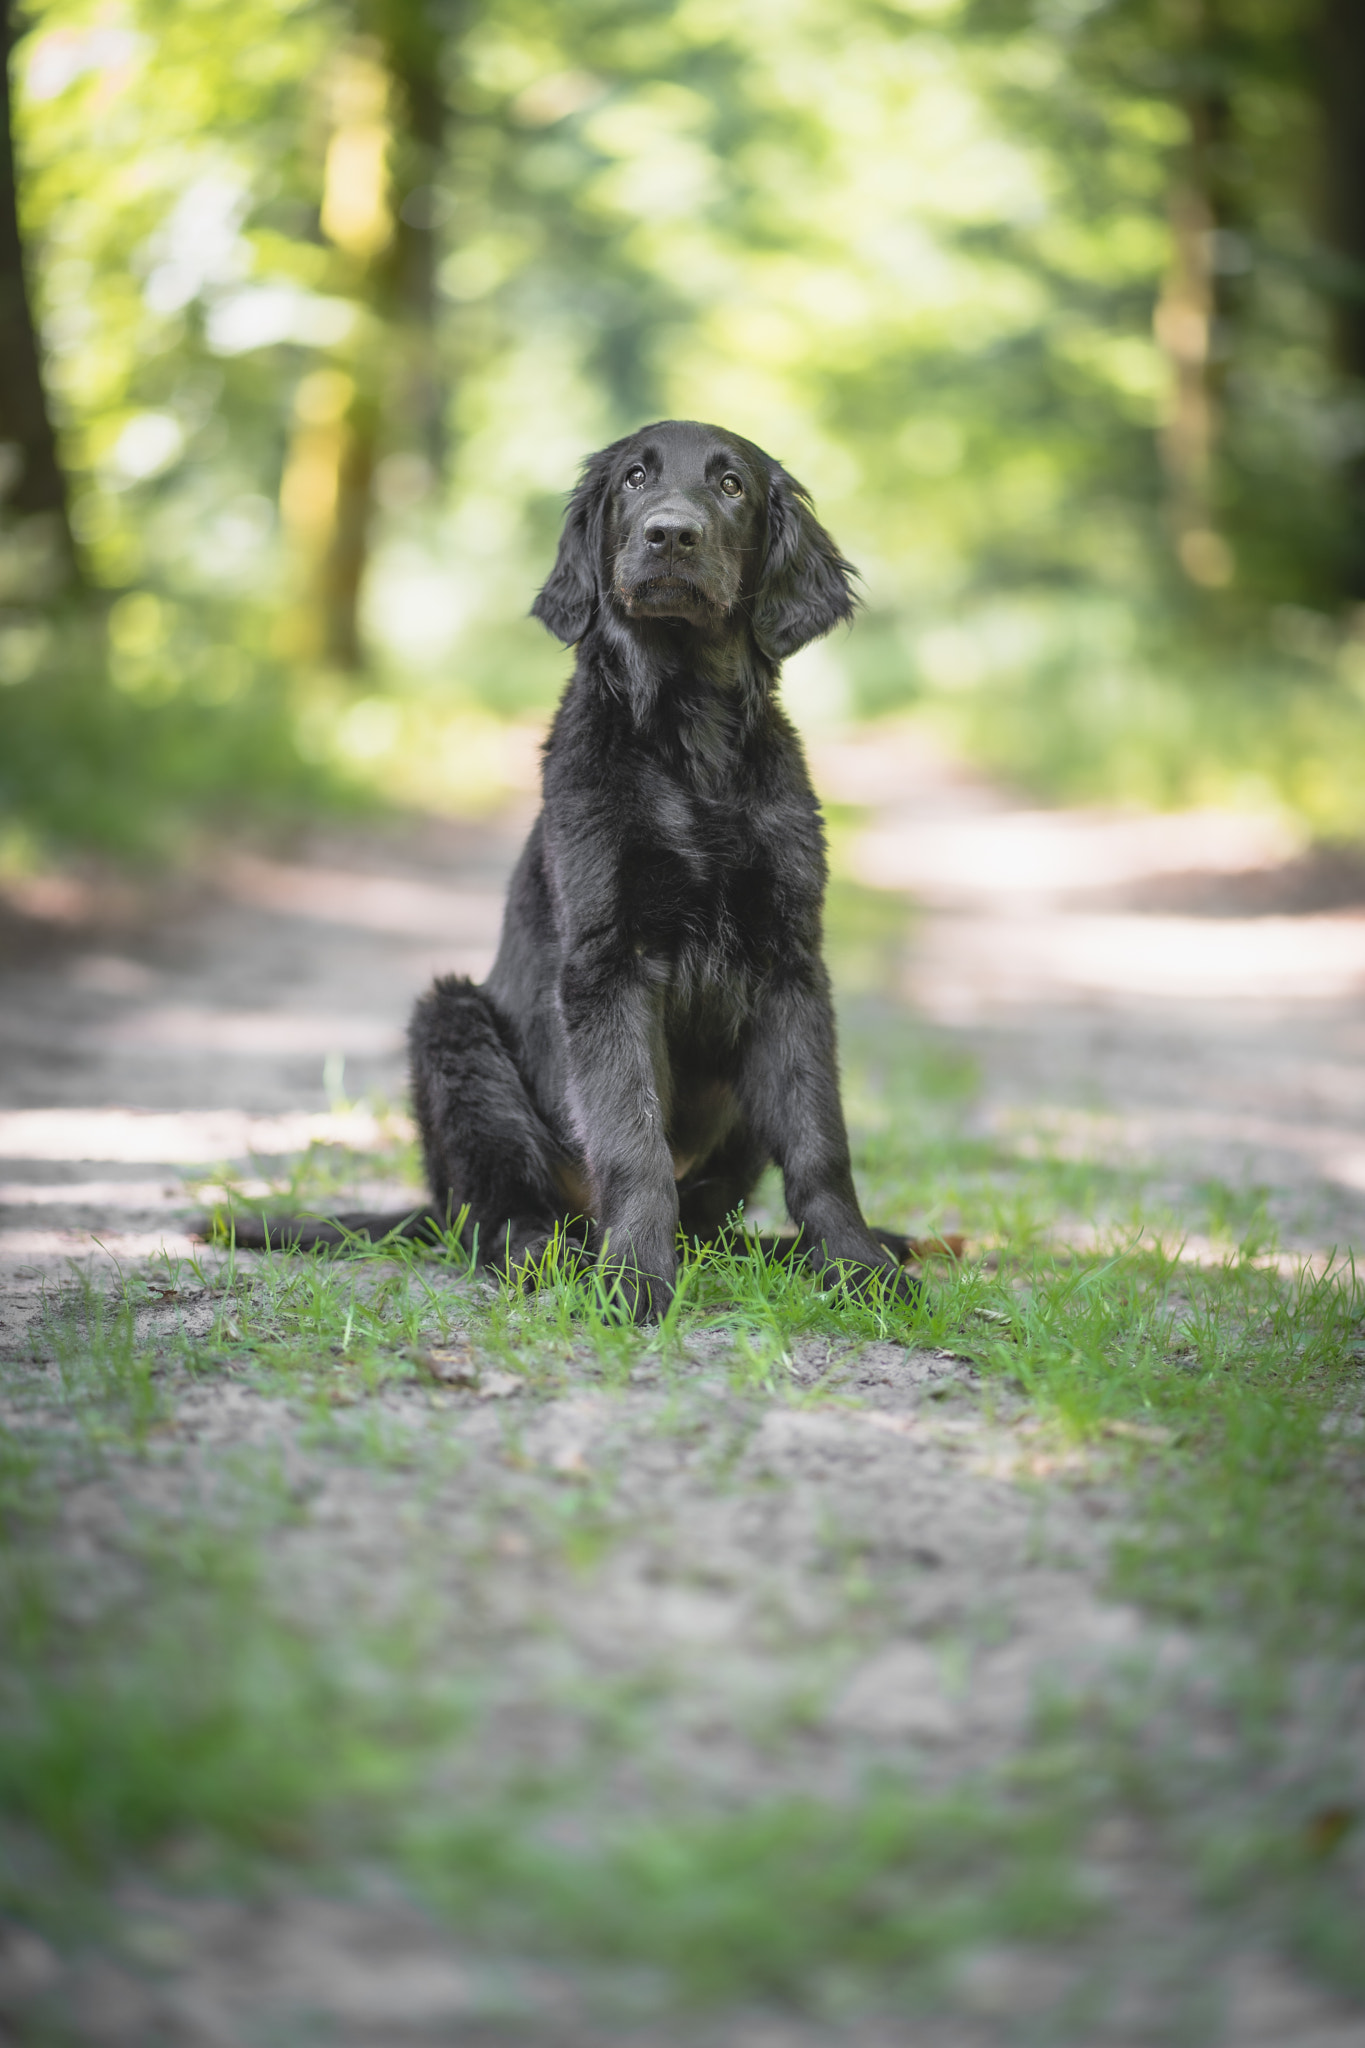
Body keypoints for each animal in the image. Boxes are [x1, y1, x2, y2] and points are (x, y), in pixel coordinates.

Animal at [227, 417, 916, 1318]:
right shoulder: (606, 959)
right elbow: (631, 1138)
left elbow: (818, 1141)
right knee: (496, 1218)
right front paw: (636, 1283)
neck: (688, 741)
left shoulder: (790, 964)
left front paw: (854, 1266)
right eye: (633, 480)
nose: (669, 535)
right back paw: (556, 1255)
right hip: (452, 1028)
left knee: (711, 1225)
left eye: (731, 485)